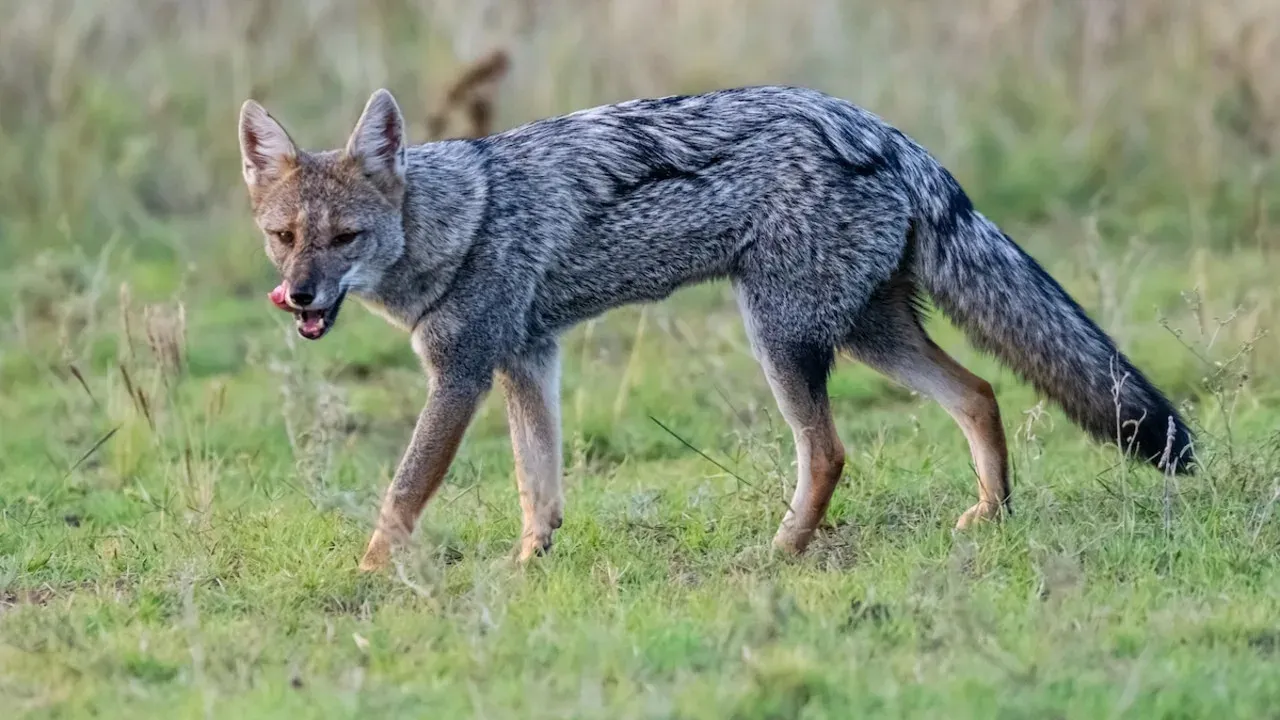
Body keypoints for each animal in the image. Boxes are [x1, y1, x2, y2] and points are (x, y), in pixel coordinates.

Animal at [237, 85, 1195, 571]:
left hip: (784, 339)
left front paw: (368, 579)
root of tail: (881, 129)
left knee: (830, 451)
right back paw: (991, 513)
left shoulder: (464, 372)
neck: (461, 221)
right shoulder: (528, 359)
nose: (301, 297)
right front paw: (528, 564)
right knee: (981, 391)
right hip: (868, 336)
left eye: (345, 239)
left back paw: (783, 550)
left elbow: (402, 494)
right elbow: (537, 484)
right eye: (283, 238)